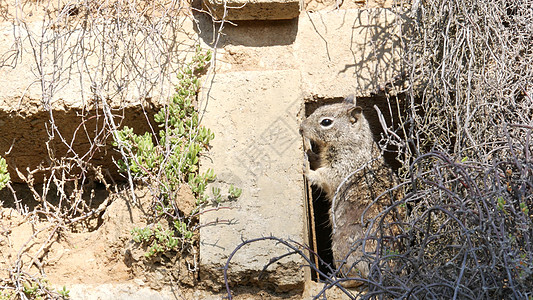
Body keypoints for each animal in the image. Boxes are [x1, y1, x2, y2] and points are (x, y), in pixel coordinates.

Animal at [300, 96, 400, 286]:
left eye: (326, 122)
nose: (301, 127)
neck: (353, 139)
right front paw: (309, 153)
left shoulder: (341, 167)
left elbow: (323, 175)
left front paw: (307, 170)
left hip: (341, 248)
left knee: (358, 278)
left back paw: (338, 281)